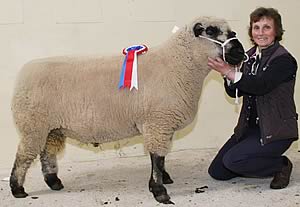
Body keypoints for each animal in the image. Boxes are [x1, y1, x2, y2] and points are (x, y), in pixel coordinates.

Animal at [9, 16, 245, 204]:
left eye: (232, 31)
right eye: (211, 31)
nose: (241, 51)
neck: (178, 65)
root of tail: (24, 73)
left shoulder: (161, 124)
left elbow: (160, 157)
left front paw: (163, 179)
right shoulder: (158, 122)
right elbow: (157, 157)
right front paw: (160, 192)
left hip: (51, 128)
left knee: (47, 153)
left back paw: (54, 182)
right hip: (33, 125)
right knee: (24, 156)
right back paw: (18, 189)